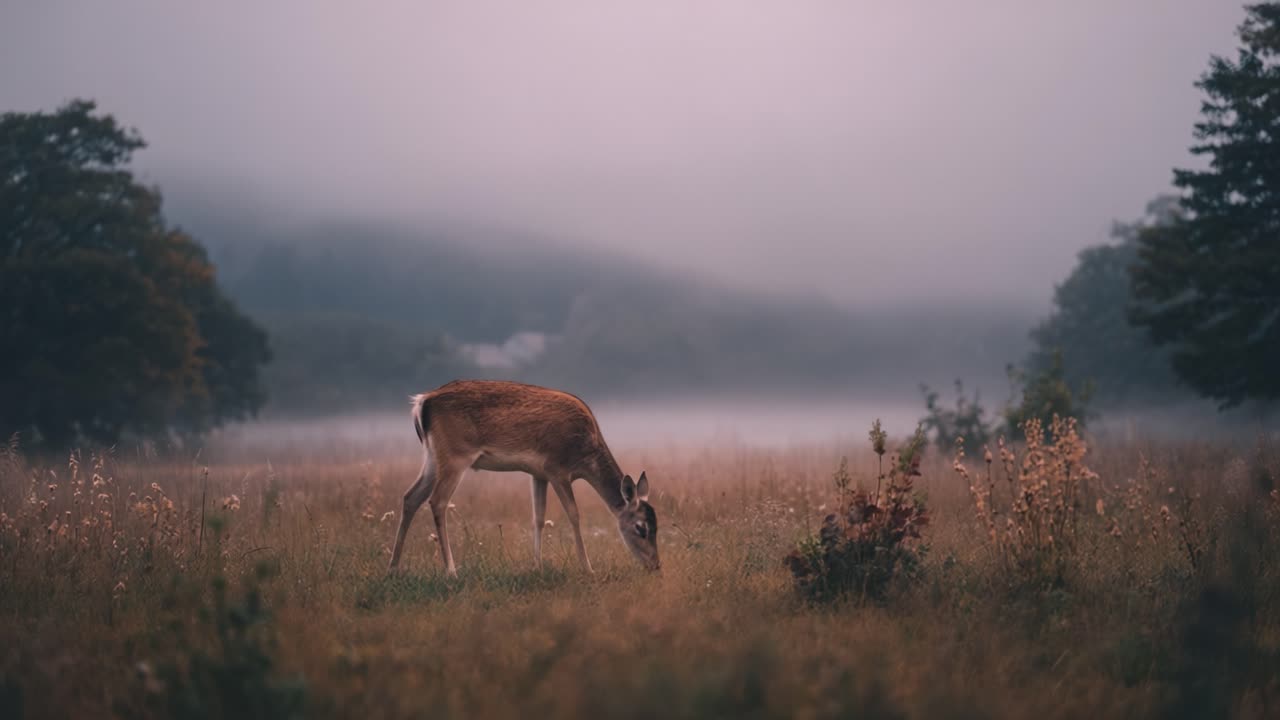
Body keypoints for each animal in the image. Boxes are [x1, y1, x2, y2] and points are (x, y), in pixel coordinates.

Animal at [388, 380, 659, 576]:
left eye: (657, 525)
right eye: (641, 528)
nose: (656, 566)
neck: (585, 454)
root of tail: (422, 402)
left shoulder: (538, 474)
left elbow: (538, 517)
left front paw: (536, 567)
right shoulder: (557, 469)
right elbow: (574, 514)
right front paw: (588, 568)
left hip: (433, 458)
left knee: (410, 497)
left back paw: (393, 568)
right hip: (455, 456)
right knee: (437, 501)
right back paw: (451, 571)